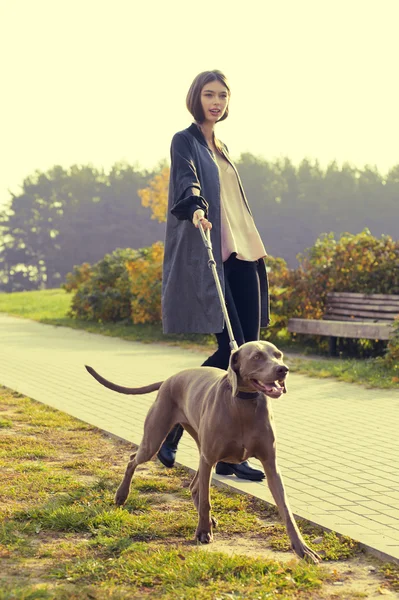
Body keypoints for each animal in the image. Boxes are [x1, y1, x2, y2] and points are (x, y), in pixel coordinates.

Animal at [86, 342, 320, 564]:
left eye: (278, 355)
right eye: (257, 356)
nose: (283, 369)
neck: (242, 404)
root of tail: (168, 380)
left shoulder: (270, 465)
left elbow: (286, 510)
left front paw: (303, 549)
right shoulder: (209, 458)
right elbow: (207, 499)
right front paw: (203, 532)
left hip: (200, 451)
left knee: (193, 485)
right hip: (155, 442)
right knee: (133, 460)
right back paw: (121, 495)